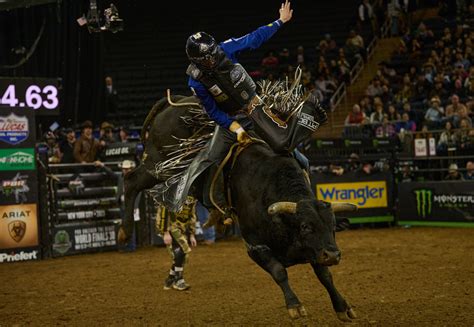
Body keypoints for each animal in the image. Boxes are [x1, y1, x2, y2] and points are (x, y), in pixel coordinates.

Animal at [120, 96, 358, 322]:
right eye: (306, 226)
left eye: (333, 226)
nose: (333, 255)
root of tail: (175, 102)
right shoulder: (255, 246)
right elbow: (279, 272)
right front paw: (295, 306)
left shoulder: (314, 249)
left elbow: (325, 275)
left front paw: (342, 307)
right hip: (159, 166)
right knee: (131, 182)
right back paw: (124, 232)